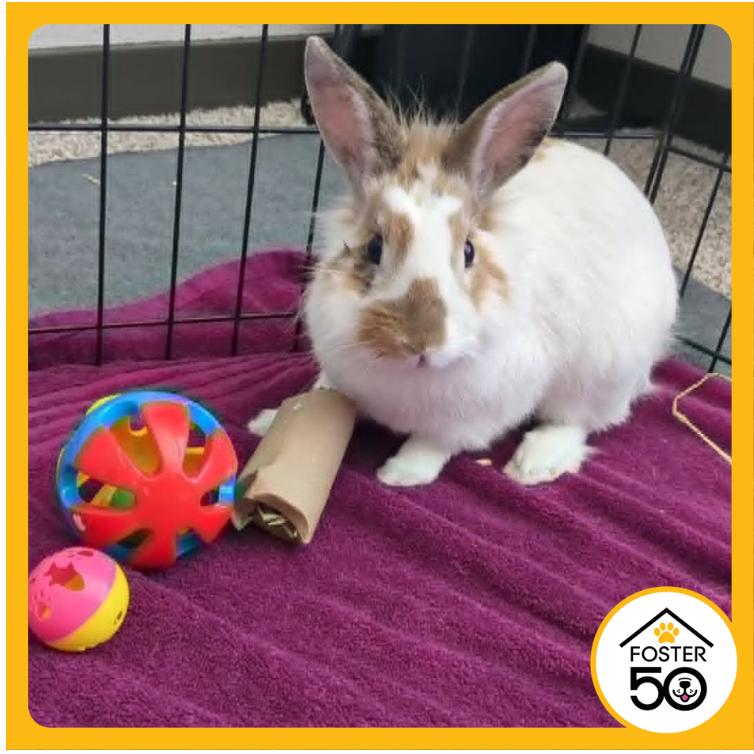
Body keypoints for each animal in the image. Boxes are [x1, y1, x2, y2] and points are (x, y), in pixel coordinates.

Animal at [248, 36, 677, 487]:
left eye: (469, 251)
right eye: (374, 248)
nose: (420, 340)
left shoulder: (475, 413)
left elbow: (436, 442)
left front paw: (400, 473)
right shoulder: (339, 376)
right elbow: (317, 396)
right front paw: (267, 421)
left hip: (602, 371)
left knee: (581, 420)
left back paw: (535, 463)